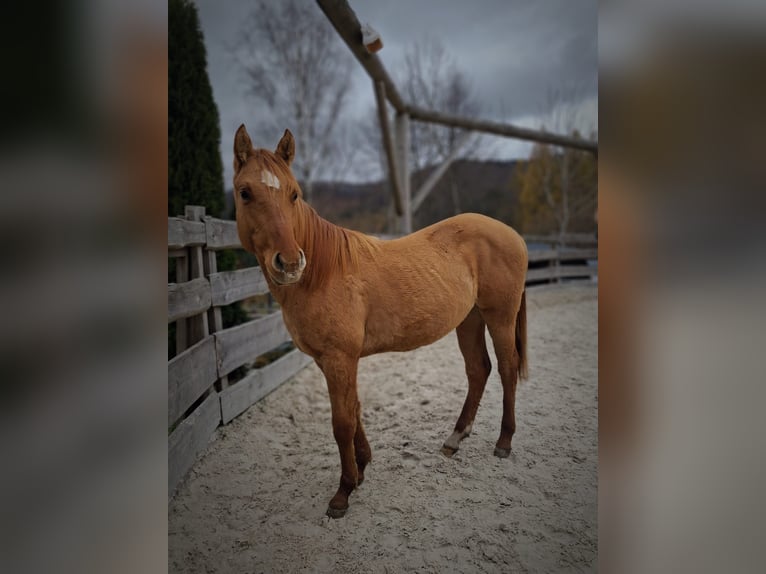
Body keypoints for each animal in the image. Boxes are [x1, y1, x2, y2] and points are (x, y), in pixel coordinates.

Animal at [233, 125, 528, 519]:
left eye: (294, 194)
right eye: (245, 192)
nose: (290, 262)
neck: (323, 273)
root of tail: (513, 234)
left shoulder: (339, 358)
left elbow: (342, 422)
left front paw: (343, 492)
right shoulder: (332, 361)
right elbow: (354, 410)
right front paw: (361, 468)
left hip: (500, 317)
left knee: (508, 368)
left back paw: (504, 441)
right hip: (469, 320)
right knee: (479, 369)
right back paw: (455, 438)